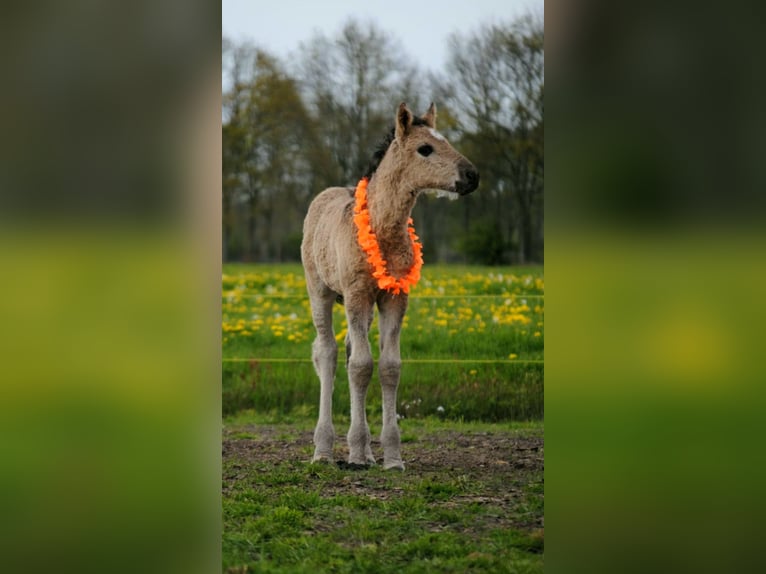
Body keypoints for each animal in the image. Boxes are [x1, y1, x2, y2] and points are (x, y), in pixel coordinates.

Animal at [301, 102, 479, 470]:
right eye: (425, 149)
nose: (472, 176)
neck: (384, 231)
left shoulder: (395, 298)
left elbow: (388, 366)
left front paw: (391, 456)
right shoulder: (356, 294)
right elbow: (360, 366)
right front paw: (355, 453)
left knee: (350, 349)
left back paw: (367, 453)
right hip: (320, 291)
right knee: (327, 352)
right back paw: (323, 451)